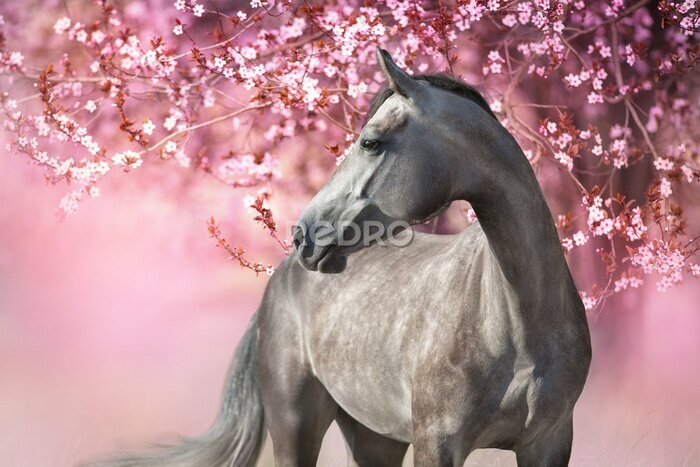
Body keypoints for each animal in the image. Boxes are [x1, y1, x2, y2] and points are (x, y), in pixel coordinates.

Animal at [88, 48, 591, 467]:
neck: (517, 318)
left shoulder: (549, 444)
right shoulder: (438, 444)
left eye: (370, 142)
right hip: (295, 426)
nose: (304, 236)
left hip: (374, 437)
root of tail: (281, 278)